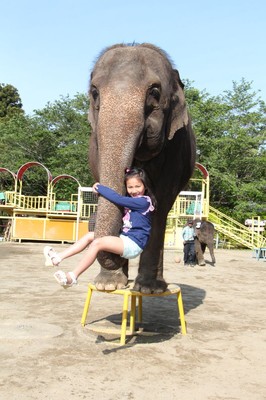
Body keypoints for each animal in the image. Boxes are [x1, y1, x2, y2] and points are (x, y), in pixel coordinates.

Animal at [89, 43, 195, 294]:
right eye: (95, 93)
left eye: (154, 92)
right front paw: (108, 285)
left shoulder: (176, 148)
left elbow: (160, 204)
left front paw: (147, 289)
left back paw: (154, 286)